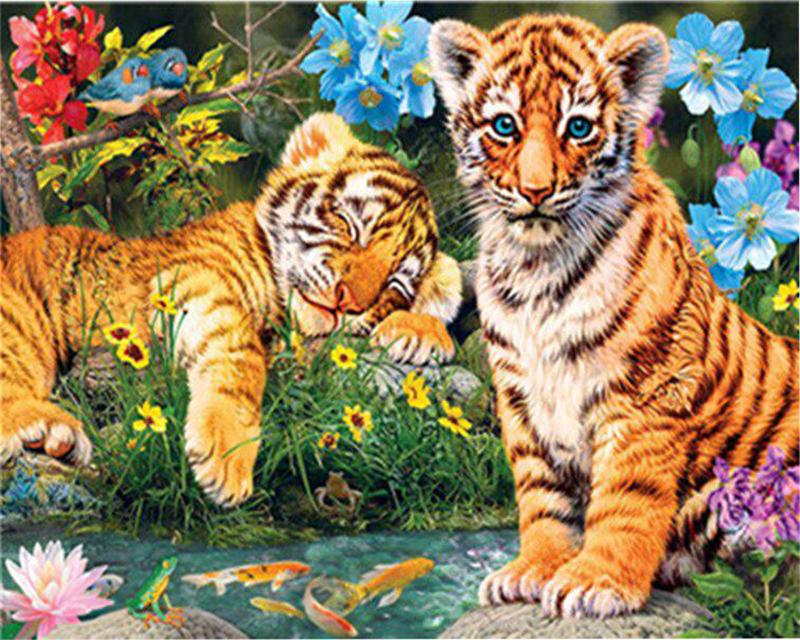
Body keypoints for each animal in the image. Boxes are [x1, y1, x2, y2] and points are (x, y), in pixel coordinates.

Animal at [0, 112, 463, 507]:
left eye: (393, 282)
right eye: (351, 225)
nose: (346, 301)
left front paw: (422, 328)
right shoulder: (193, 278)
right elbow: (239, 356)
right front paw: (227, 457)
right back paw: (47, 428)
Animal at [429, 14, 799, 618]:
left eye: (578, 128)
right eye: (504, 126)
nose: (535, 190)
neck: (537, 267)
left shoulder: (646, 394)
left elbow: (626, 497)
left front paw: (596, 581)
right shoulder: (521, 396)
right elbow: (541, 496)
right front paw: (533, 569)